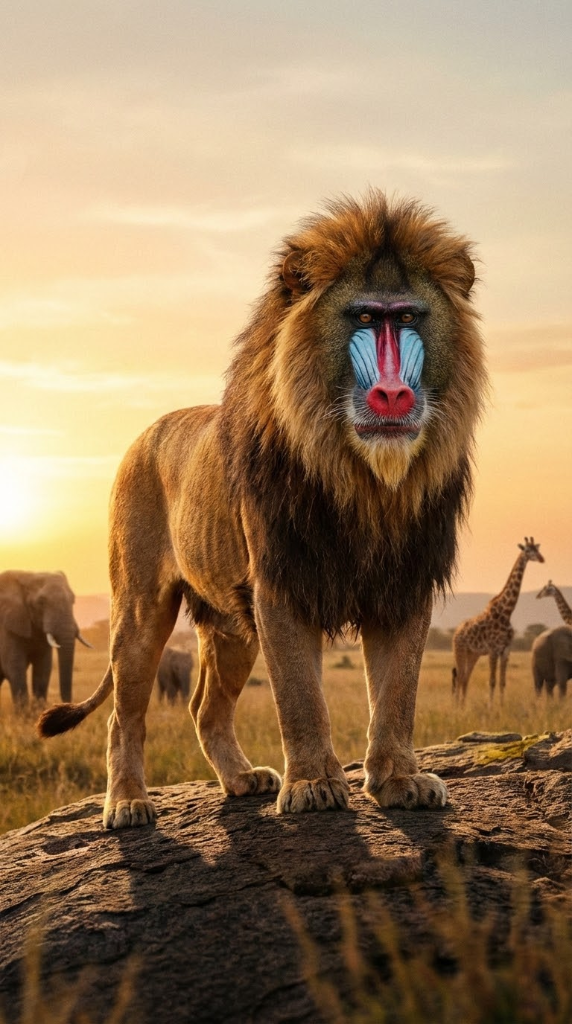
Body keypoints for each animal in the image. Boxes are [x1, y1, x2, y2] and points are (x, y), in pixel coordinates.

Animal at [38, 191, 487, 828]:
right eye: (364, 319)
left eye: (406, 318)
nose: (393, 395)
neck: (363, 482)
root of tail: (145, 433)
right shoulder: (279, 583)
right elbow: (300, 697)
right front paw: (314, 785)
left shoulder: (404, 582)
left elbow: (397, 694)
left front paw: (400, 780)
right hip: (140, 608)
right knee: (124, 714)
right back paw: (126, 803)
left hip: (230, 626)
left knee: (204, 708)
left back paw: (241, 780)